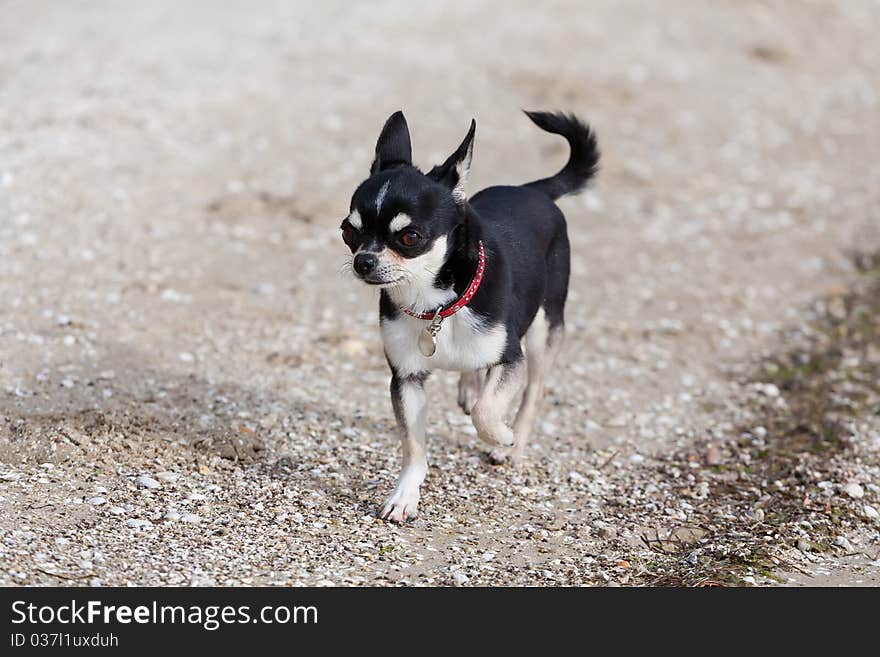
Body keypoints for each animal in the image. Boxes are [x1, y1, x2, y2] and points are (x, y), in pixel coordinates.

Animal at [338, 110, 600, 520]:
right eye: (348, 232)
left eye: (410, 237)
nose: (363, 261)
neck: (435, 306)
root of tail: (536, 190)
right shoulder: (407, 378)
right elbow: (413, 446)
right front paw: (404, 495)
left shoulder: (510, 358)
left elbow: (486, 412)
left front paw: (502, 436)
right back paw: (470, 386)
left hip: (545, 329)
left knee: (533, 392)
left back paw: (513, 446)